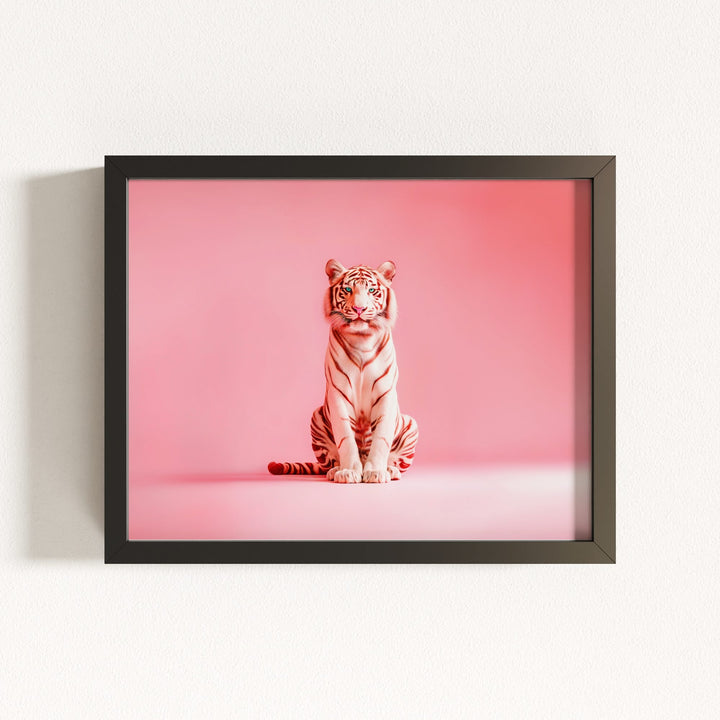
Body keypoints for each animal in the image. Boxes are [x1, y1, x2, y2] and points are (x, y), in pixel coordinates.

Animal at [268, 259, 418, 483]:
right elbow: (345, 438)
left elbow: (381, 438)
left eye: (372, 290)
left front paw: (376, 472)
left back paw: (390, 470)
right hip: (316, 417)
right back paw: (335, 470)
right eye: (348, 289)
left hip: (410, 423)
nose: (359, 308)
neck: (362, 339)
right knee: (329, 462)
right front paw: (348, 472)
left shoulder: (385, 394)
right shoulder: (338, 392)